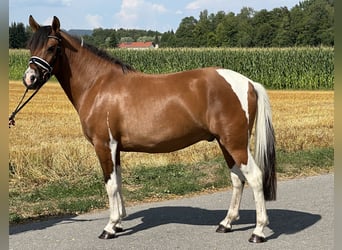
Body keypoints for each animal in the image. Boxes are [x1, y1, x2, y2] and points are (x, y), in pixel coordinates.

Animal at [22, 15, 276, 242]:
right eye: (30, 46)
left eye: (52, 47)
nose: (30, 78)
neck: (98, 84)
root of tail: (249, 83)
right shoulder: (115, 148)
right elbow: (118, 181)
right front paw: (119, 222)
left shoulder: (104, 145)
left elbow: (110, 184)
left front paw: (109, 227)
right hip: (225, 143)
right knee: (237, 179)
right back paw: (226, 223)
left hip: (235, 143)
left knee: (254, 177)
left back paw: (258, 231)